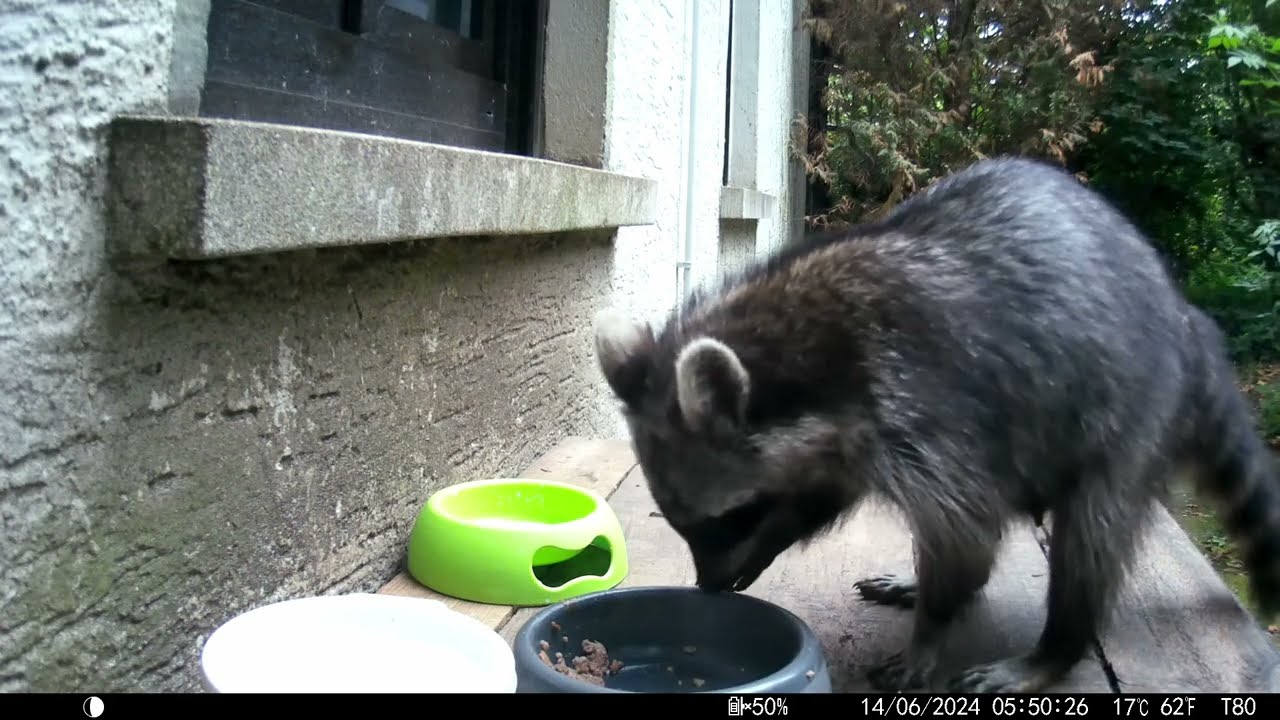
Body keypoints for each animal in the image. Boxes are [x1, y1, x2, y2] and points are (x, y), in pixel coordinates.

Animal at [592, 156, 1280, 693]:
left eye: (724, 518)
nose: (707, 588)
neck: (802, 345)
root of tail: (1184, 320)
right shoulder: (838, 439)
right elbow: (820, 495)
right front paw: (772, 540)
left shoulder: (927, 409)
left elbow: (965, 532)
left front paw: (931, 630)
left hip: (1131, 411)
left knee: (1091, 533)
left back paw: (1056, 647)